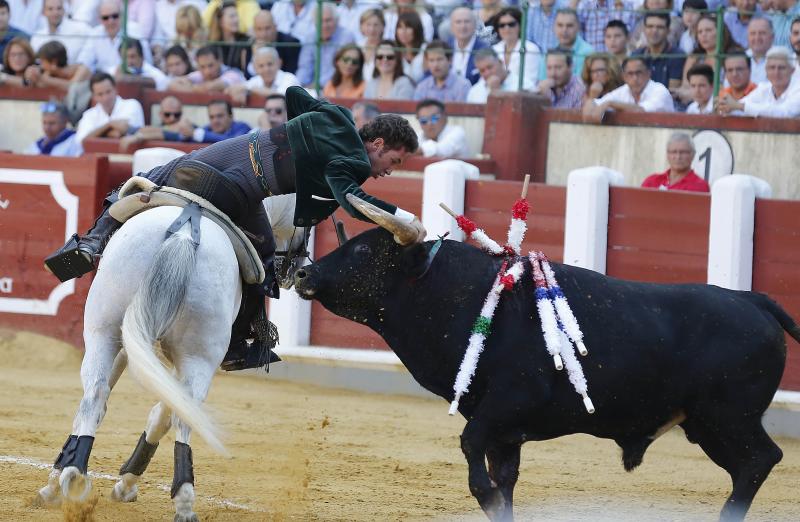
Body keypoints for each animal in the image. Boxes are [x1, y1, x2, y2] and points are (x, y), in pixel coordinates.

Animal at [294, 229, 800, 520]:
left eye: (363, 247)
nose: (303, 274)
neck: (459, 294)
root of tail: (754, 300)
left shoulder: (506, 404)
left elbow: (474, 456)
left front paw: (483, 494)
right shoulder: (504, 430)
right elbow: (504, 479)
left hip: (729, 418)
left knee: (761, 459)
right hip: (707, 425)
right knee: (748, 468)